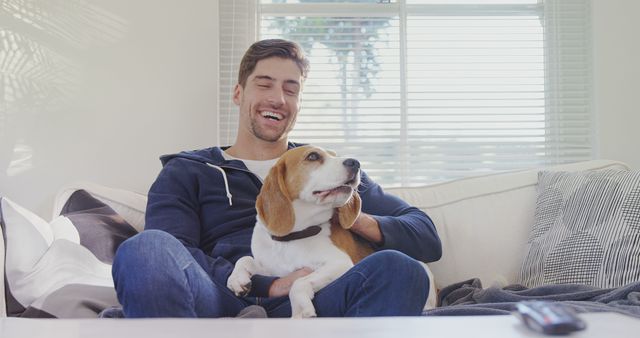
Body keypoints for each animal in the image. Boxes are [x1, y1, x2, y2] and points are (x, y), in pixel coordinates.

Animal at [225, 145, 436, 316]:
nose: (356, 162)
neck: (293, 237)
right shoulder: (273, 269)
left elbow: (298, 283)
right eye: (313, 156)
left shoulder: (339, 263)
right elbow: (245, 259)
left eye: (335, 155)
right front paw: (237, 279)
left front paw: (301, 312)